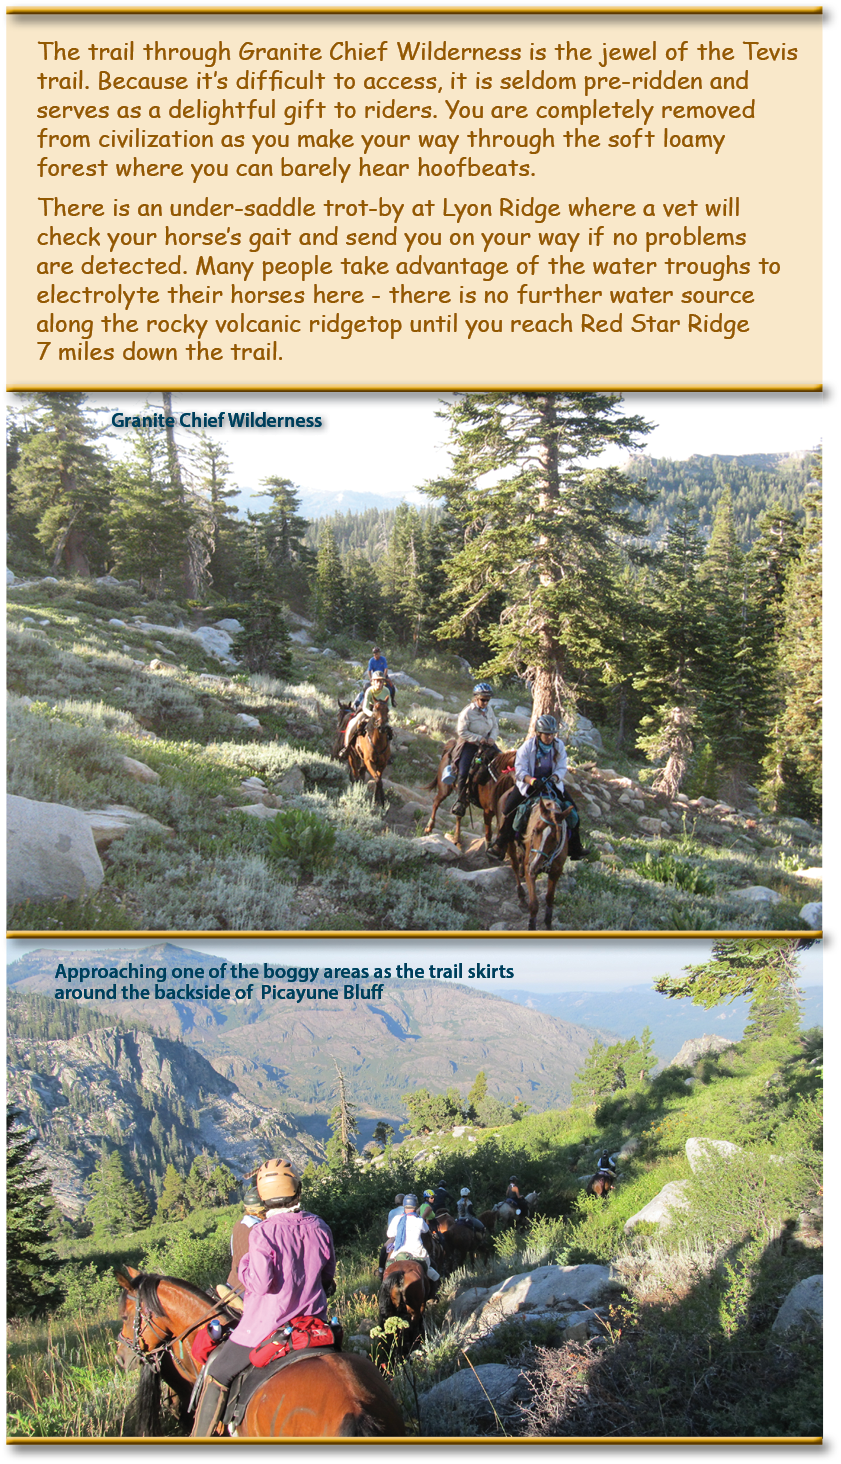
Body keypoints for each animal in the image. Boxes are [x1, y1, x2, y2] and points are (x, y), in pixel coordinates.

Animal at [506, 796, 574, 931]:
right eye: (535, 830)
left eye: (555, 838)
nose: (535, 866)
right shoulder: (530, 870)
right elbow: (534, 904)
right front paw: (531, 925)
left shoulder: (556, 872)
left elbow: (549, 898)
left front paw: (548, 922)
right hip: (510, 843)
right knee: (514, 865)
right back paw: (521, 895)